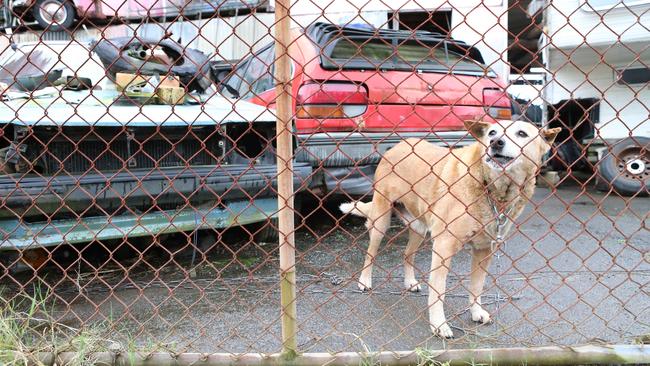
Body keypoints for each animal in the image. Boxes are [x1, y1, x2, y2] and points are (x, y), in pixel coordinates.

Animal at [340, 119, 556, 338]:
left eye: (522, 133)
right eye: (492, 132)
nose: (495, 143)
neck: (491, 188)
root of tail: (398, 145)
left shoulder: (484, 249)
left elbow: (476, 286)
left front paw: (476, 312)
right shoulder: (443, 246)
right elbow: (438, 290)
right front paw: (439, 324)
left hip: (419, 228)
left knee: (407, 254)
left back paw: (410, 282)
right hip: (381, 222)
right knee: (371, 253)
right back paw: (364, 281)